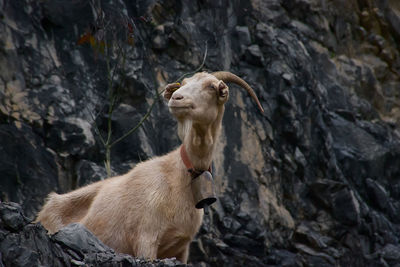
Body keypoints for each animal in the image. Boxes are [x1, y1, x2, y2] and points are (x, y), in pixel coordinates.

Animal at [36, 71, 264, 264]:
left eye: (211, 86)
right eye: (184, 83)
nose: (176, 98)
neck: (178, 175)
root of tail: (45, 209)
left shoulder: (181, 249)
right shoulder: (146, 238)